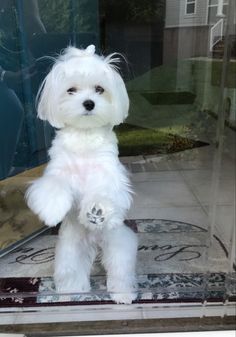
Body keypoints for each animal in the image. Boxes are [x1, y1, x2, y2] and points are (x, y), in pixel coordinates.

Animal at [24, 43, 137, 304]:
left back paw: (123, 293)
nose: (88, 103)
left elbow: (107, 192)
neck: (84, 139)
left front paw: (97, 211)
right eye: (71, 90)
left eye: (99, 89)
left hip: (118, 244)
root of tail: (95, 242)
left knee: (120, 269)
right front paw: (52, 210)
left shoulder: (110, 174)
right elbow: (52, 186)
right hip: (68, 251)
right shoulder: (58, 169)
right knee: (71, 271)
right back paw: (71, 292)